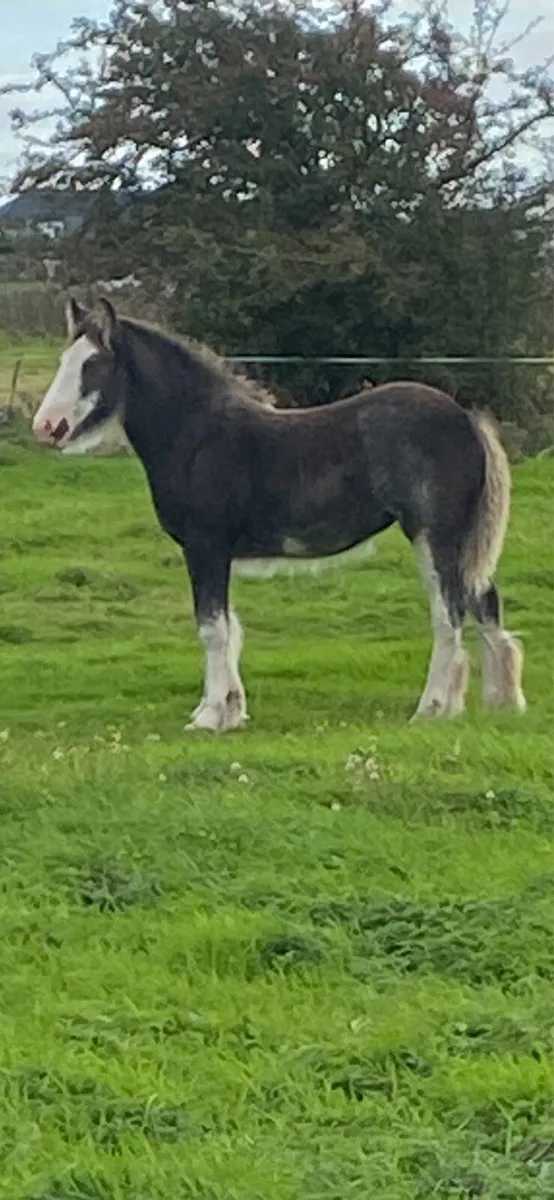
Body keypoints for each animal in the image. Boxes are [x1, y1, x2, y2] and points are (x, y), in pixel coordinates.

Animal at [31, 297, 526, 732]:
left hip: (433, 535)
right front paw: (228, 710)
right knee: (484, 601)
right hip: (458, 541)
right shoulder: (217, 554)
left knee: (449, 614)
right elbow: (229, 628)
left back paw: (432, 709)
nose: (45, 427)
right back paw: (502, 703)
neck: (197, 435)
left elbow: (213, 628)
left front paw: (211, 718)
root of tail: (466, 417)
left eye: (93, 364)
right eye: (64, 358)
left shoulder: (205, 547)